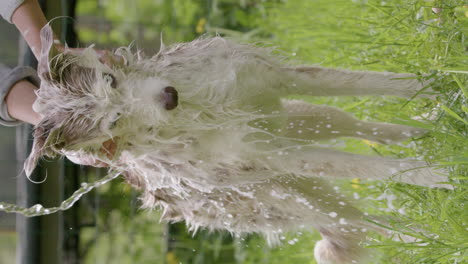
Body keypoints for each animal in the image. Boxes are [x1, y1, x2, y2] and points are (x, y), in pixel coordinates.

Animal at [26, 25, 446, 262]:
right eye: (113, 121)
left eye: (111, 79)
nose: (168, 96)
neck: (199, 108)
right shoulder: (277, 155)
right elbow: (367, 168)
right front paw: (438, 176)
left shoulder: (280, 79)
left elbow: (371, 84)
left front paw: (435, 83)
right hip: (289, 195)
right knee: (361, 219)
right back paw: (424, 234)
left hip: (301, 120)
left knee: (353, 125)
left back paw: (424, 131)